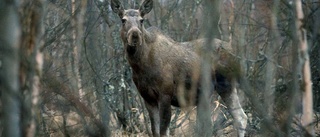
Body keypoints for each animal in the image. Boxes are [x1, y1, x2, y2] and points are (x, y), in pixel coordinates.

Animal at [111, 0, 249, 136]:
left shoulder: (165, 95)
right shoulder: (148, 98)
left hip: (225, 85)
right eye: (123, 20)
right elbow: (155, 131)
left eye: (141, 20)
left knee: (235, 119)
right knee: (239, 117)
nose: (135, 35)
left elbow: (163, 132)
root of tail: (234, 53)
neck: (140, 66)